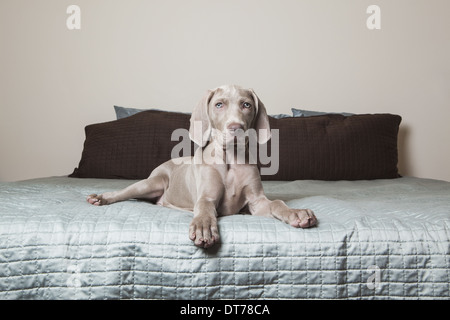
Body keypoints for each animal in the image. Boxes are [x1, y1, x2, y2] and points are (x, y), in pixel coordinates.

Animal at [87, 84, 316, 248]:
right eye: (219, 105)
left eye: (246, 105)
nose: (236, 128)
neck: (230, 159)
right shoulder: (207, 197)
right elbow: (205, 209)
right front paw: (204, 228)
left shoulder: (256, 202)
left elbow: (276, 202)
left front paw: (296, 213)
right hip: (152, 182)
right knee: (124, 192)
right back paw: (101, 197)